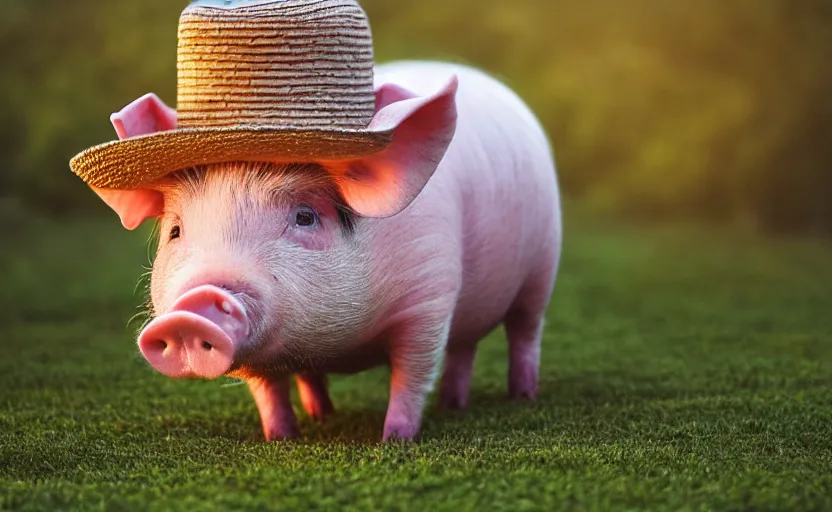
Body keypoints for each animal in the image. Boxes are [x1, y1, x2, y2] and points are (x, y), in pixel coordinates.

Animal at [94, 62, 564, 442]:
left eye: (305, 217)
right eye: (175, 231)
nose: (191, 307)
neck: (340, 345)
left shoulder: (429, 295)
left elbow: (412, 373)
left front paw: (394, 441)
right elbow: (269, 390)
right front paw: (281, 439)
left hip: (544, 265)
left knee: (523, 331)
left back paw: (520, 397)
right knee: (463, 346)